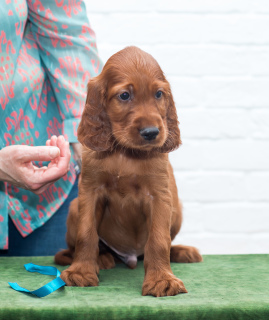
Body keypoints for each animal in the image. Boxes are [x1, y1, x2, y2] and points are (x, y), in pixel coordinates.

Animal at [55, 46, 201, 296]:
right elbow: (86, 233)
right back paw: (102, 258)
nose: (151, 132)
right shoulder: (90, 191)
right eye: (124, 95)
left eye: (159, 94)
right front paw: (81, 271)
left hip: (177, 210)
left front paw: (162, 279)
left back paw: (181, 251)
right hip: (74, 207)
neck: (126, 153)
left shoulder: (160, 195)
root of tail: (130, 257)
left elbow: (159, 240)